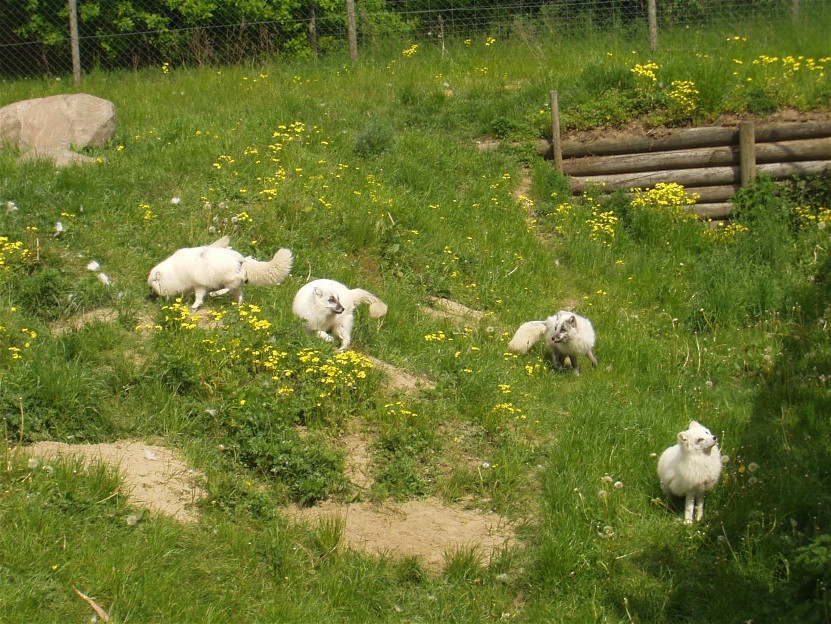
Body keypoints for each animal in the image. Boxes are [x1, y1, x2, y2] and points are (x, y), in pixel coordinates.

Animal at [148, 235, 293, 310]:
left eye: (152, 286)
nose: (150, 296)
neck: (174, 272)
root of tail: (241, 259)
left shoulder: (199, 284)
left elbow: (199, 297)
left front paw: (194, 306)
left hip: (229, 278)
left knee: (229, 288)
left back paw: (216, 293)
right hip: (237, 286)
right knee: (239, 294)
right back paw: (238, 306)